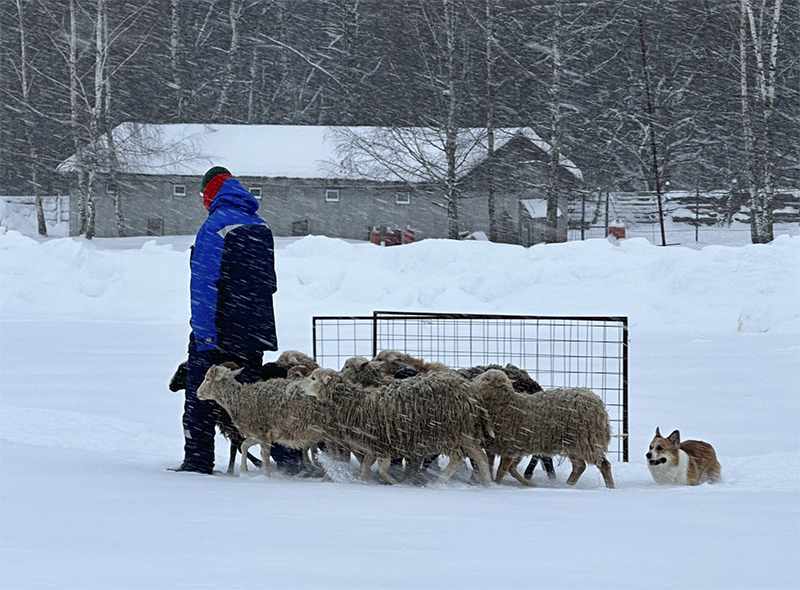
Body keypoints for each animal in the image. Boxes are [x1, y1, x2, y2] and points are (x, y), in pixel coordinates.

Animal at [306, 368, 494, 488]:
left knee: (460, 457)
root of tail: (469, 390)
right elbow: (366, 465)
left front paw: (397, 485)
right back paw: (486, 483)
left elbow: (382, 470)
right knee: (479, 455)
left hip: (449, 432)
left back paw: (439, 482)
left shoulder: (382, 445)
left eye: (313, 378)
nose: (301, 387)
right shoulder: (373, 446)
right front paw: (364, 480)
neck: (356, 404)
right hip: (463, 431)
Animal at [472, 370, 616, 490]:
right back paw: (567, 486)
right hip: (573, 443)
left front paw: (498, 485)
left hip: (588, 440)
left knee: (604, 465)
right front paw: (528, 484)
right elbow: (504, 468)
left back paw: (610, 487)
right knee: (579, 467)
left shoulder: (510, 447)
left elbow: (501, 471)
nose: (472, 381)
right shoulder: (511, 447)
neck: (508, 406)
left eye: (487, 379)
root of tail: (597, 402)